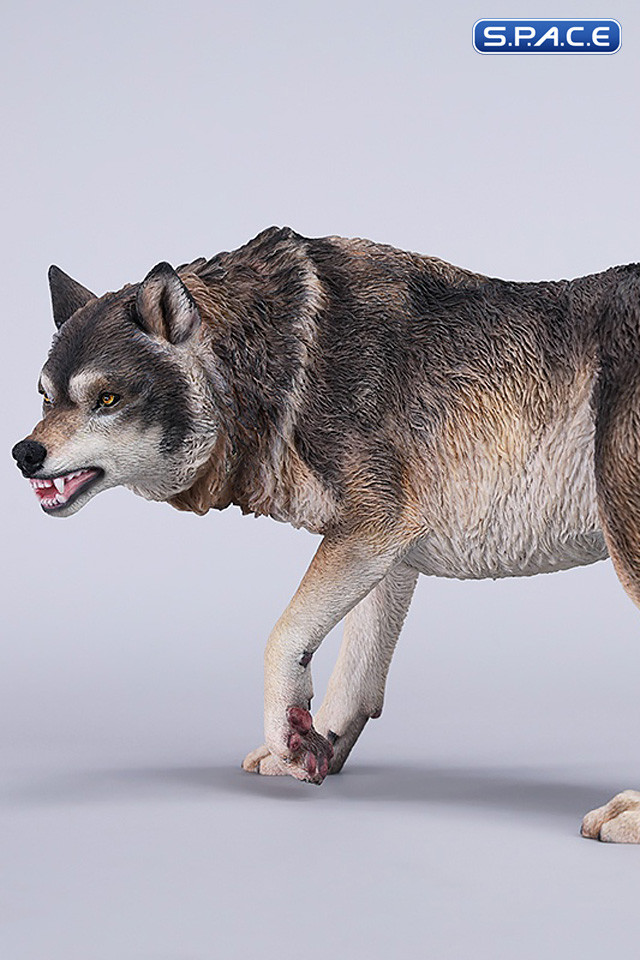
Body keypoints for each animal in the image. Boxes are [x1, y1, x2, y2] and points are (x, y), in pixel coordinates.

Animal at [12, 226, 640, 842]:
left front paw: (288, 735)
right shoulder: (394, 553)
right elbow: (355, 676)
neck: (276, 366)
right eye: (46, 397)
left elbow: (281, 637)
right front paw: (311, 747)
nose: (24, 453)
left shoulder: (373, 528)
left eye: (106, 398)